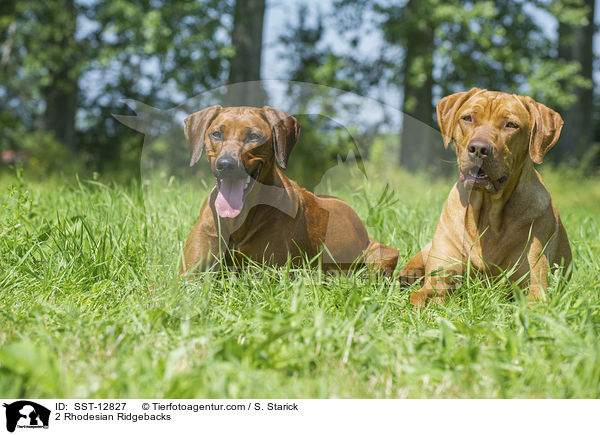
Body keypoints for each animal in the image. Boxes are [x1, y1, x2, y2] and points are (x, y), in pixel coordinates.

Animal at [180, 105, 400, 276]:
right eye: (216, 134)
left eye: (254, 136)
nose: (226, 165)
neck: (238, 220)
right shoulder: (190, 276)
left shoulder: (266, 274)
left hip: (382, 254)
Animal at [400, 87, 568, 306]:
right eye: (468, 118)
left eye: (511, 124)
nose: (479, 148)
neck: (487, 212)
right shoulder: (439, 280)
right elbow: (419, 297)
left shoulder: (534, 287)